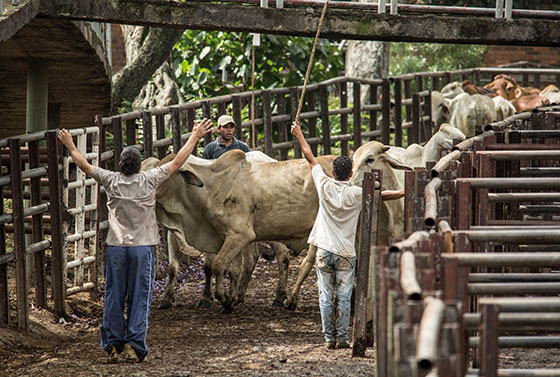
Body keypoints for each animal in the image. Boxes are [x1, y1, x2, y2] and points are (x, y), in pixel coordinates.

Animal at [144, 151, 336, 312]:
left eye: (163, 171)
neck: (211, 187)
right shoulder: (227, 237)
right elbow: (231, 269)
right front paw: (231, 299)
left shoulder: (240, 235)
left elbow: (217, 265)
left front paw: (223, 300)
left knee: (297, 261)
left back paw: (289, 299)